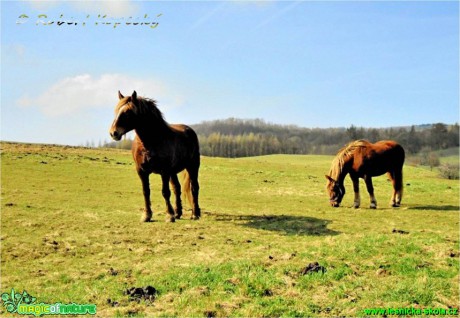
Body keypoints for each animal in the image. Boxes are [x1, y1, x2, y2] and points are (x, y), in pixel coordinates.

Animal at [109, 90, 201, 222]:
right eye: (117, 111)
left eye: (128, 112)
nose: (113, 133)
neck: (150, 142)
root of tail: (189, 130)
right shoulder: (142, 171)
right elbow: (146, 191)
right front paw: (147, 215)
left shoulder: (164, 171)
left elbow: (165, 192)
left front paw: (169, 215)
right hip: (173, 172)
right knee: (177, 188)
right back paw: (178, 213)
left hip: (192, 166)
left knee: (194, 187)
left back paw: (195, 214)